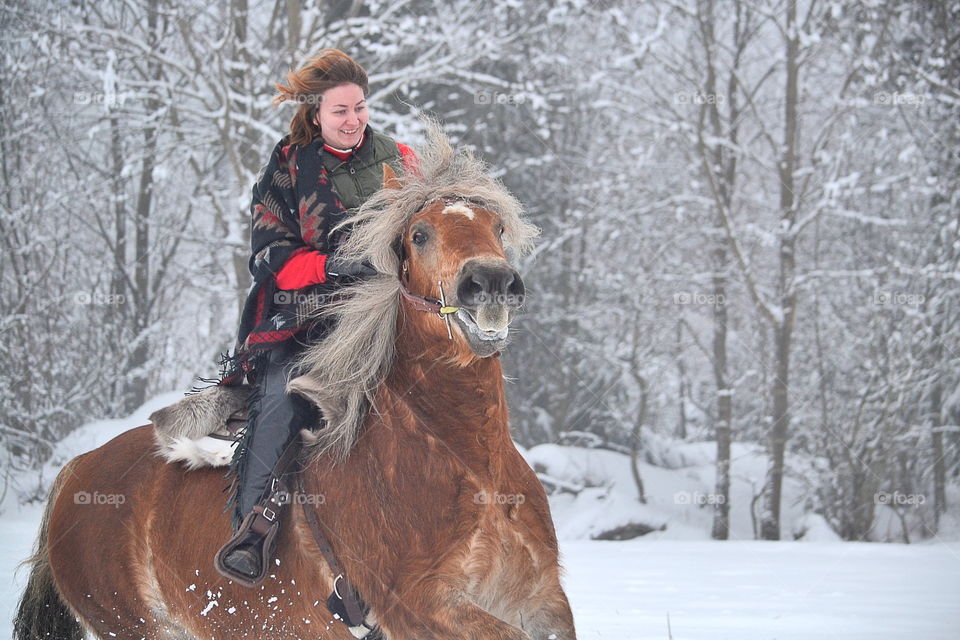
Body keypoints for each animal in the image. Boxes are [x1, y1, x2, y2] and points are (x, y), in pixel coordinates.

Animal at [15, 125, 576, 640]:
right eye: (419, 235)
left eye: (497, 228)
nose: (491, 283)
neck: (470, 464)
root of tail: (79, 469)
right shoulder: (422, 606)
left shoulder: (542, 600)